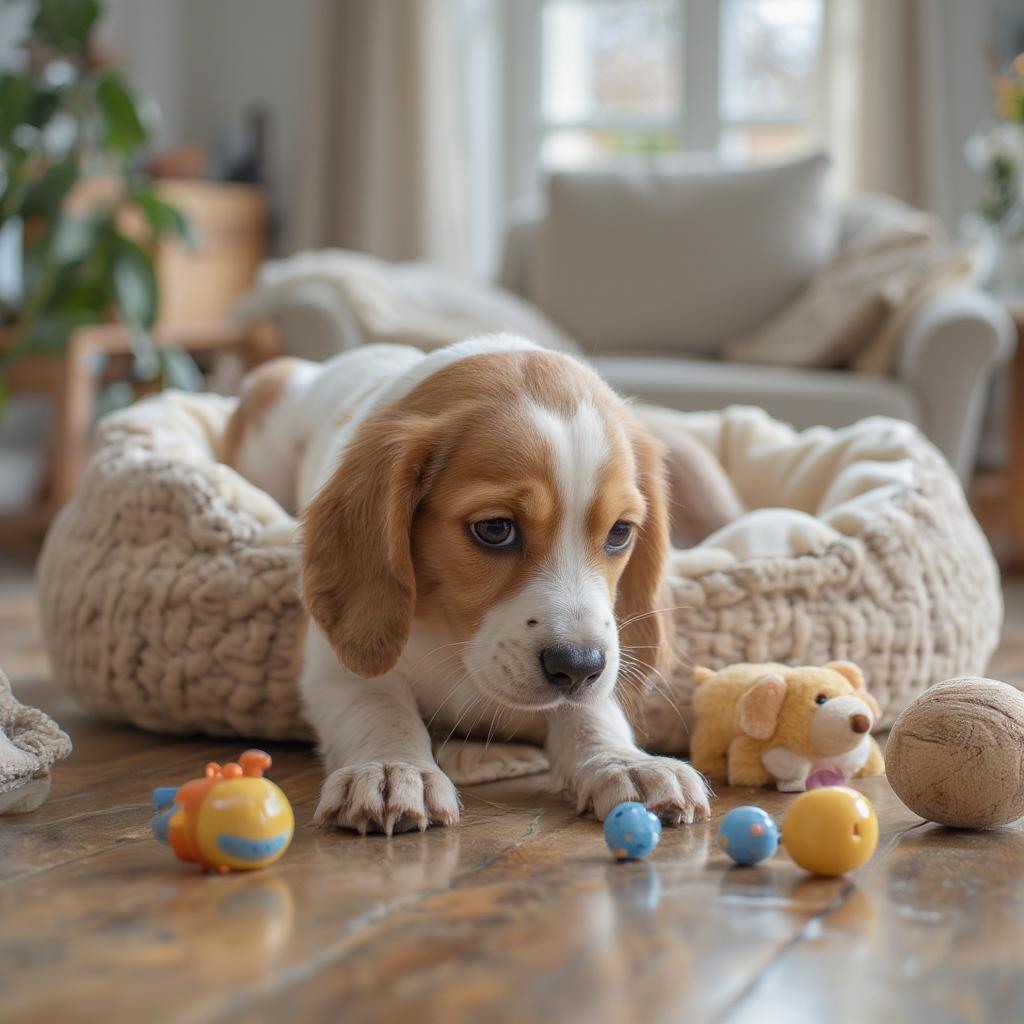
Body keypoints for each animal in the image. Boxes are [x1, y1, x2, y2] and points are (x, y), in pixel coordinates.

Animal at [226, 335, 720, 831]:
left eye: (619, 532)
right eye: (495, 528)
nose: (578, 666)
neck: (455, 642)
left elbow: (591, 708)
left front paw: (623, 762)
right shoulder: (331, 662)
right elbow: (378, 705)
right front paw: (392, 768)